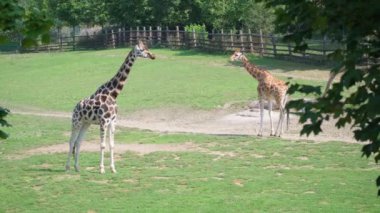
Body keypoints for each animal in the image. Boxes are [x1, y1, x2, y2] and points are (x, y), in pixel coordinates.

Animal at [66, 40, 155, 174]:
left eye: (147, 48)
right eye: (142, 49)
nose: (152, 55)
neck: (113, 94)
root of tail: (75, 107)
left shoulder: (112, 121)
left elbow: (112, 145)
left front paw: (113, 168)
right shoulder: (103, 121)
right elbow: (102, 145)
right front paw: (102, 169)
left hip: (86, 123)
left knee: (79, 141)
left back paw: (77, 167)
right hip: (76, 121)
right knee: (71, 141)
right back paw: (67, 167)